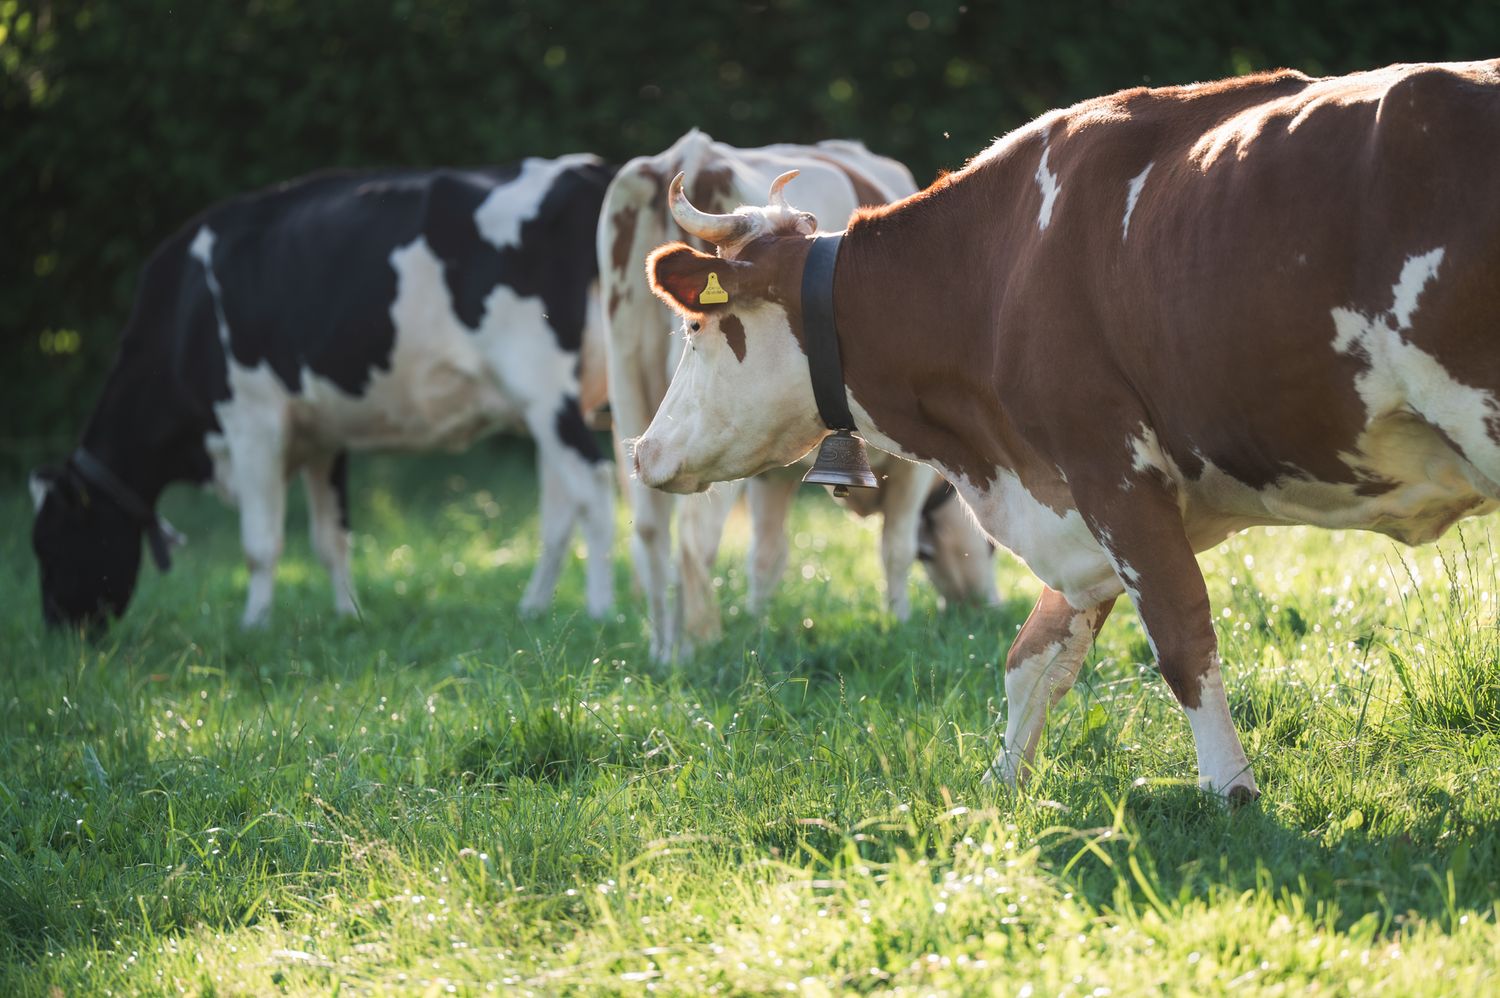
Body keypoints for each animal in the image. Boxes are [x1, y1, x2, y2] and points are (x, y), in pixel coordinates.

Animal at [32, 155, 618, 630]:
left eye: (47, 543)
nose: (59, 630)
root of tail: (583, 169)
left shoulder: (252, 421)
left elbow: (260, 544)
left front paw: (254, 625)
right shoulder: (321, 435)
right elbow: (331, 539)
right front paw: (348, 616)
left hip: (545, 390)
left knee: (596, 488)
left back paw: (601, 610)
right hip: (554, 405)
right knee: (559, 513)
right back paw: (533, 609)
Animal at [600, 130, 999, 660]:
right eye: (987, 546)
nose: (987, 607)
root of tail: (692, 152)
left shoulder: (771, 467)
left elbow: (766, 557)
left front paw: (757, 629)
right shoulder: (911, 465)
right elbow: (895, 547)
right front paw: (899, 625)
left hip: (628, 381)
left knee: (648, 528)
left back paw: (663, 651)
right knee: (694, 536)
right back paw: (696, 647)